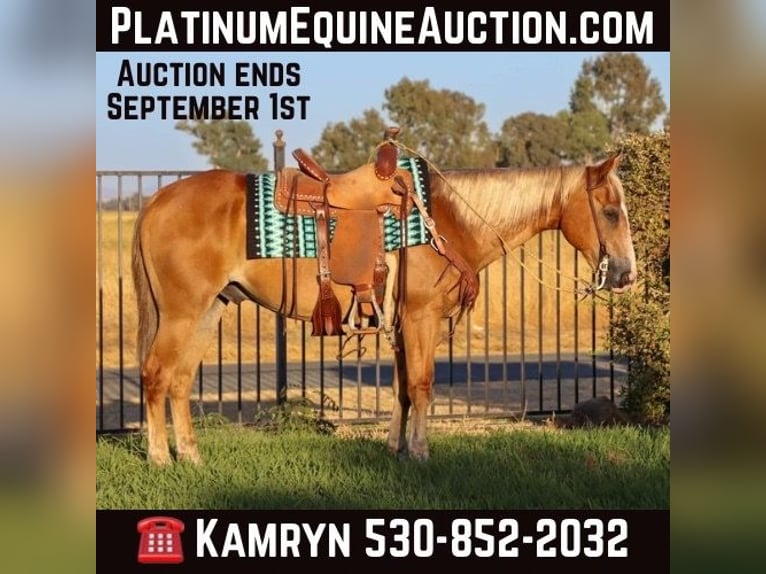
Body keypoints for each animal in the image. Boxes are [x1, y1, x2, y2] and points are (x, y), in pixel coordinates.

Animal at [131, 152, 636, 465]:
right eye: (611, 212)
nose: (626, 274)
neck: (448, 221)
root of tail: (155, 201)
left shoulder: (399, 323)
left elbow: (402, 390)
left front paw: (395, 448)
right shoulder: (420, 318)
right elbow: (422, 385)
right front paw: (420, 452)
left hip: (211, 309)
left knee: (179, 381)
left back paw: (190, 455)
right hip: (182, 313)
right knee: (156, 375)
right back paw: (159, 458)